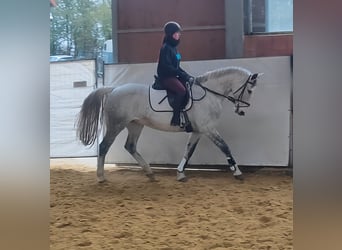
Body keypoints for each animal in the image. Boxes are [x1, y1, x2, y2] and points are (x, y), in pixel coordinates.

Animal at [75, 66, 262, 183]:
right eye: (249, 90)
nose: (241, 111)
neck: (209, 94)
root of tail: (114, 89)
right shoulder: (208, 129)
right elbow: (225, 147)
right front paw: (238, 172)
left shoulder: (198, 131)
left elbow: (189, 151)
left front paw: (180, 174)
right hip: (116, 125)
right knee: (104, 146)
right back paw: (101, 177)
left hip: (135, 125)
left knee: (131, 146)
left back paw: (150, 174)